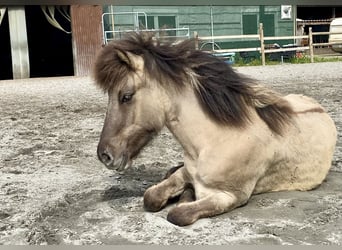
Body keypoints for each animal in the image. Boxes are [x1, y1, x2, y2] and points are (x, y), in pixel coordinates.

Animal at [93, 31, 336, 227]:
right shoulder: (186, 172)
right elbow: (151, 197)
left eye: (126, 96)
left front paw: (184, 198)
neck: (215, 140)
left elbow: (178, 214)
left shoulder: (231, 196)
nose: (104, 155)